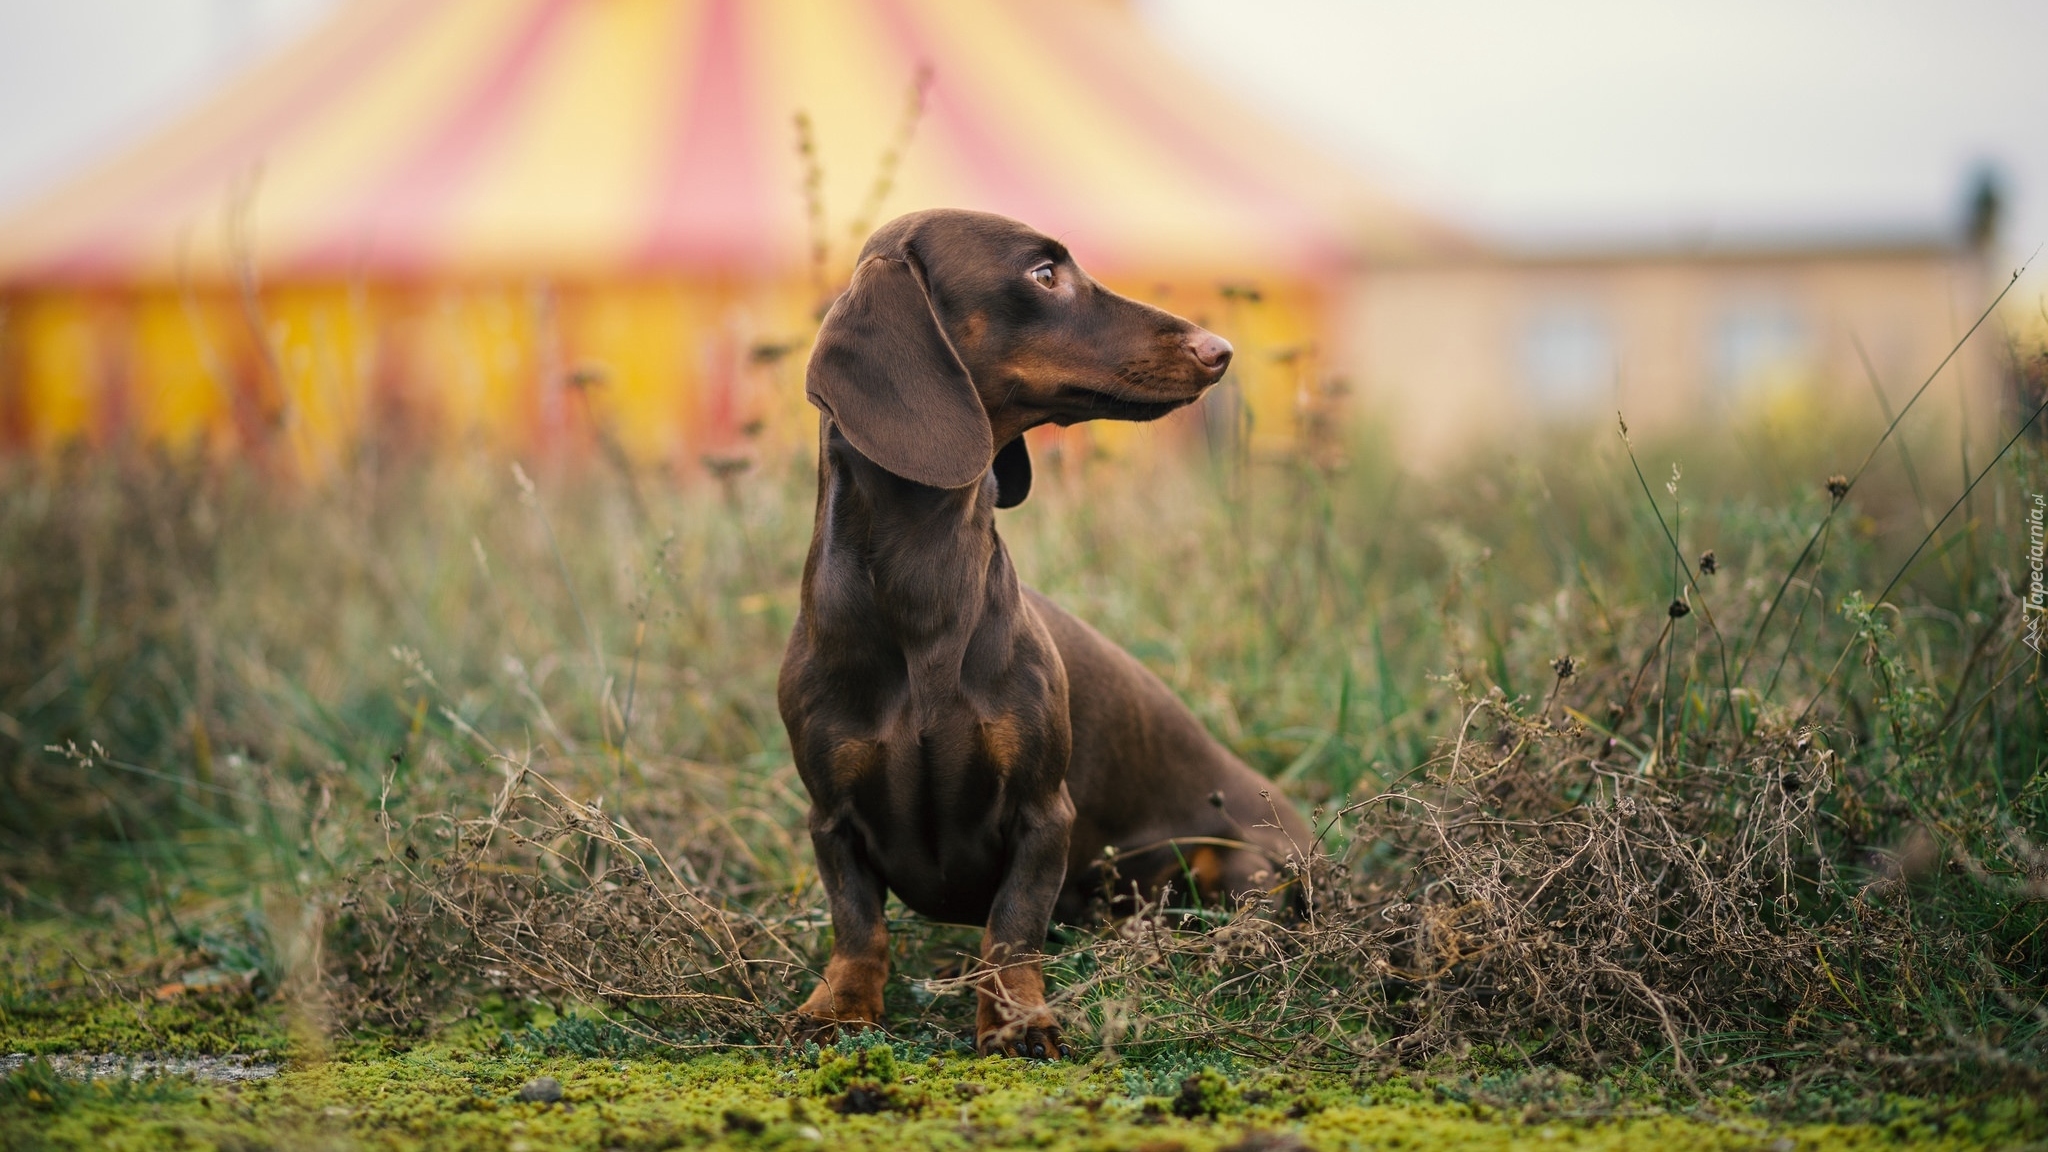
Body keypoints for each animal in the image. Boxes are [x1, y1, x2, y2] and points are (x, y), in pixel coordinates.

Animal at [782, 208, 1310, 1057]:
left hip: (1239, 867)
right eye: (1043, 274)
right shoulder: (830, 815)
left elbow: (1013, 929)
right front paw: (838, 1006)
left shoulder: (1041, 813)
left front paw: (1017, 1018)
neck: (924, 593)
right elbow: (858, 925)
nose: (1219, 349)